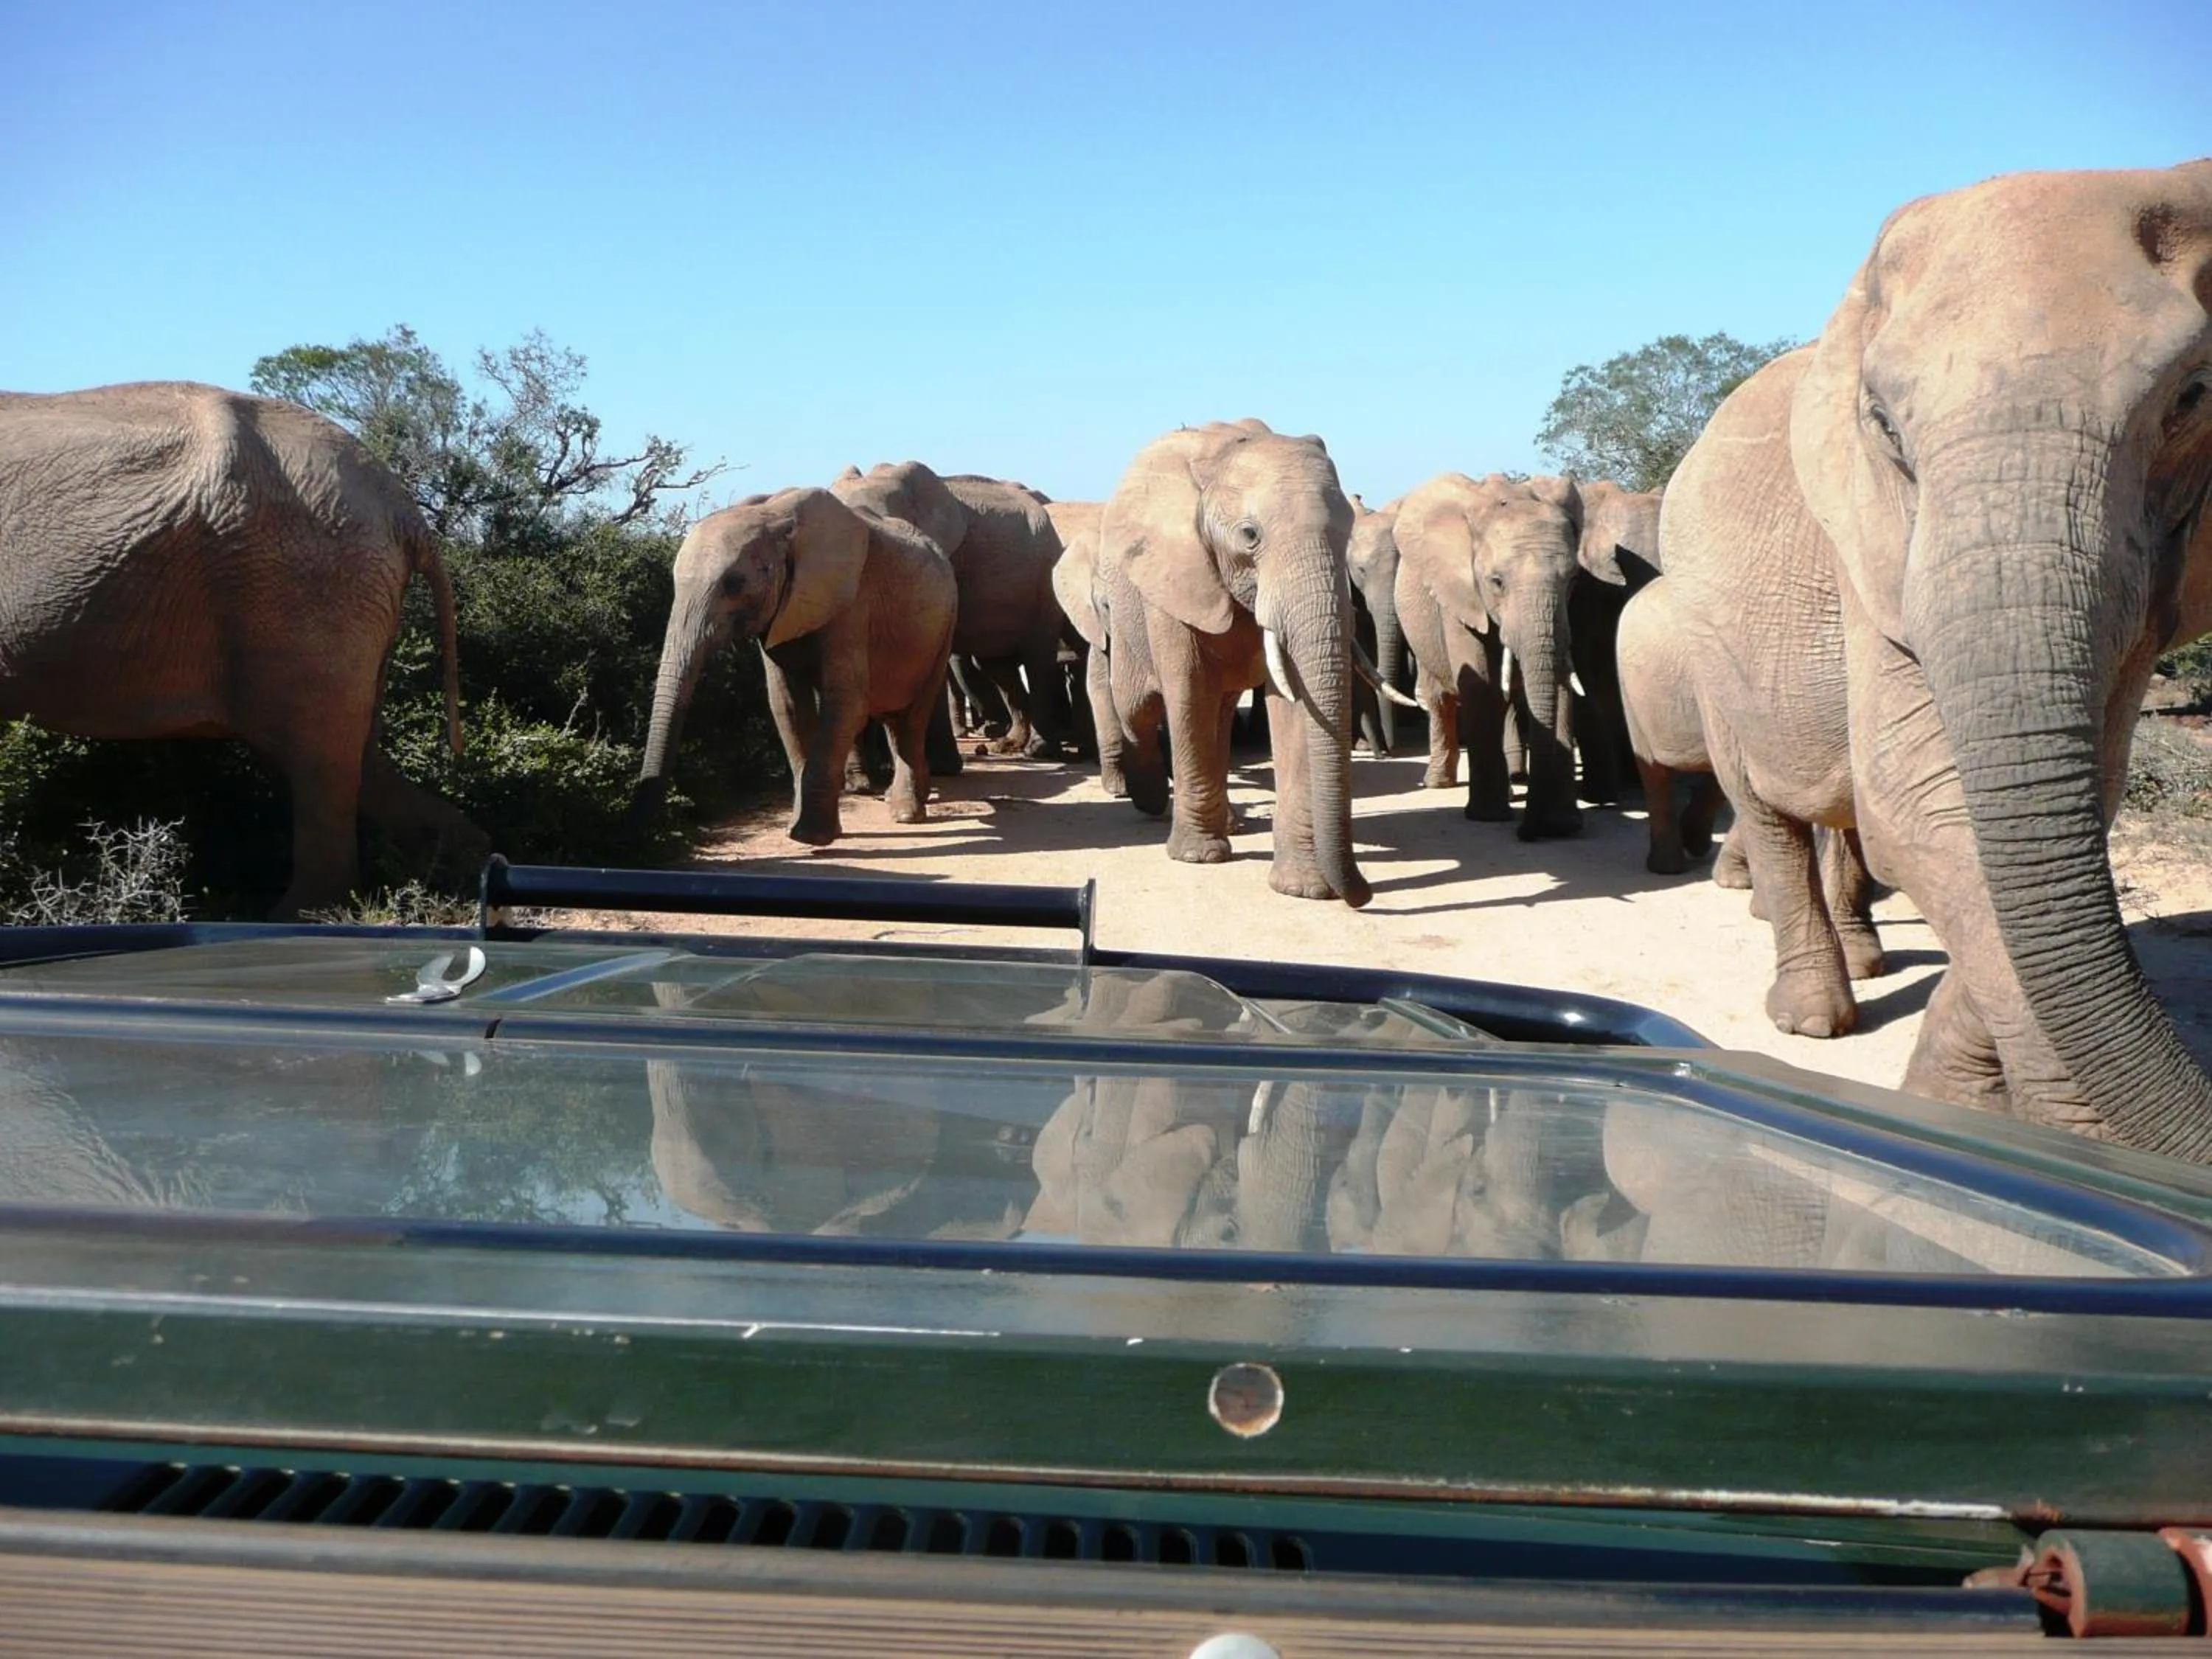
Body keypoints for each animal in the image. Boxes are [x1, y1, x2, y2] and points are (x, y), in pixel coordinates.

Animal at [0, 381, 478, 918]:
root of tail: (401, 507)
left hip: (305, 593)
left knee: (317, 763)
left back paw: (293, 916)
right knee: (354, 757)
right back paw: (463, 865)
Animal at [636, 487, 956, 846]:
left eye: (735, 584)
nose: (649, 829)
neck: (775, 519)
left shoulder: (851, 605)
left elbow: (846, 703)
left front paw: (810, 838)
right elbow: (787, 705)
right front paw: (804, 832)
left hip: (945, 626)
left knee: (913, 717)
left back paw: (906, 814)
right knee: (893, 717)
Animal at [1094, 419, 1385, 906]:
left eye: (1347, 532)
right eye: (1250, 535)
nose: (1362, 895)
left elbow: (1293, 703)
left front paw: (1304, 888)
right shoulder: (1175, 578)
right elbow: (1187, 692)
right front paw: (1197, 857)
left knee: (1220, 711)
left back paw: (1229, 822)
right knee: (1140, 706)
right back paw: (1153, 802)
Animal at [1392, 472, 1587, 839]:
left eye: (1573, 578)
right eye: (1496, 582)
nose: (1530, 832)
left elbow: (1563, 685)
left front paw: (1565, 823)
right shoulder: (1458, 596)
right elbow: (1481, 688)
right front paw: (1488, 817)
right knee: (1441, 699)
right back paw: (1439, 783)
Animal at [1661, 161, 2212, 1158]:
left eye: (2192, 397)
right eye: (1881, 423)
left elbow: (2048, 811)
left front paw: (1952, 1110)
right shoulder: (1869, 548)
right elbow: (1922, 805)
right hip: (1705, 638)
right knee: (1763, 805)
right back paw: (1811, 1021)